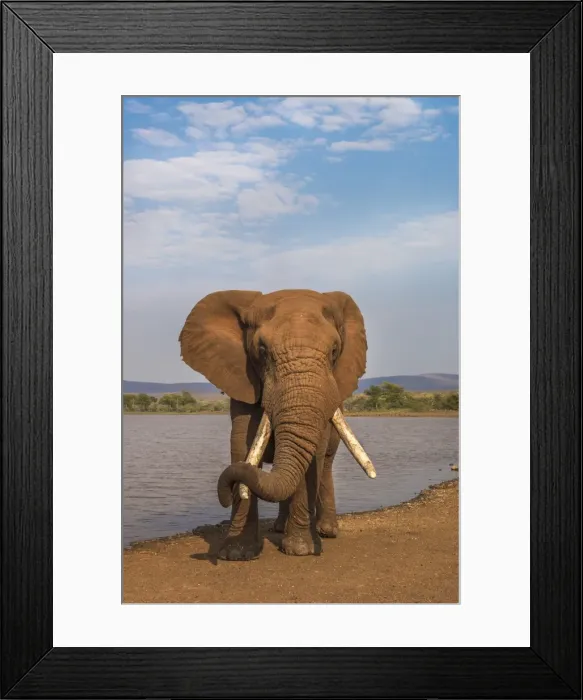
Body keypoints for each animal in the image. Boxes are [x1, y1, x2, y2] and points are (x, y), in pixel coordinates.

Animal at [179, 289, 375, 560]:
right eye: (262, 350)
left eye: (335, 350)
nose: (226, 495)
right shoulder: (244, 382)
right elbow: (242, 446)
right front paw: (236, 553)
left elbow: (313, 455)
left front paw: (300, 550)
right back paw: (280, 528)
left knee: (325, 465)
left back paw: (326, 531)